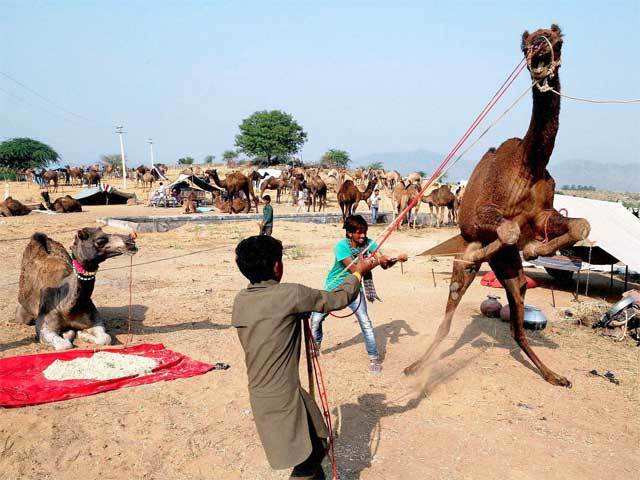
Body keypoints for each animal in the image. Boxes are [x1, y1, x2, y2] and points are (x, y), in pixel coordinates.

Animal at [404, 25, 592, 390]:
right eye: (526, 44)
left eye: (556, 39)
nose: (538, 55)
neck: (528, 164)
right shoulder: (479, 216)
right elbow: (509, 228)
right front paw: (532, 247)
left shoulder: (544, 214)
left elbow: (579, 225)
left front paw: (537, 248)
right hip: (471, 256)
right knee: (449, 314)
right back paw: (415, 367)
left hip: (509, 270)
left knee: (518, 324)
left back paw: (553, 375)